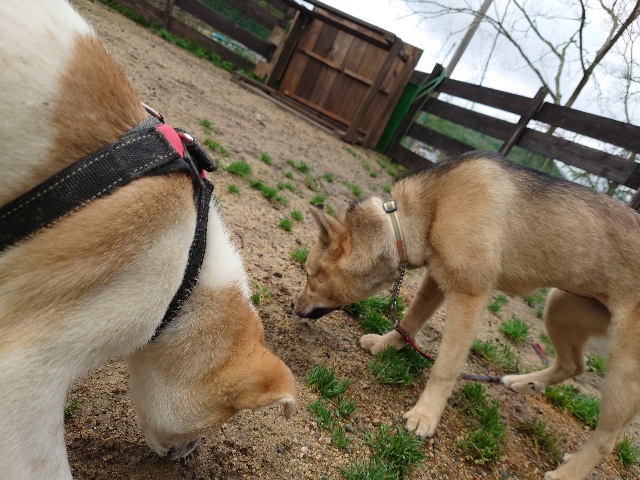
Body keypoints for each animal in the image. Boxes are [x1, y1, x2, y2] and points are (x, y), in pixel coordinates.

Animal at [294, 150, 640, 480]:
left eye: (310, 275)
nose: (292, 309)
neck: (415, 214)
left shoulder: (469, 297)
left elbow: (444, 367)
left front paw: (425, 415)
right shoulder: (437, 278)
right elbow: (411, 319)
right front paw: (386, 343)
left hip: (622, 369)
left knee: (608, 438)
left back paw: (569, 473)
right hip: (559, 307)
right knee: (574, 365)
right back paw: (524, 383)